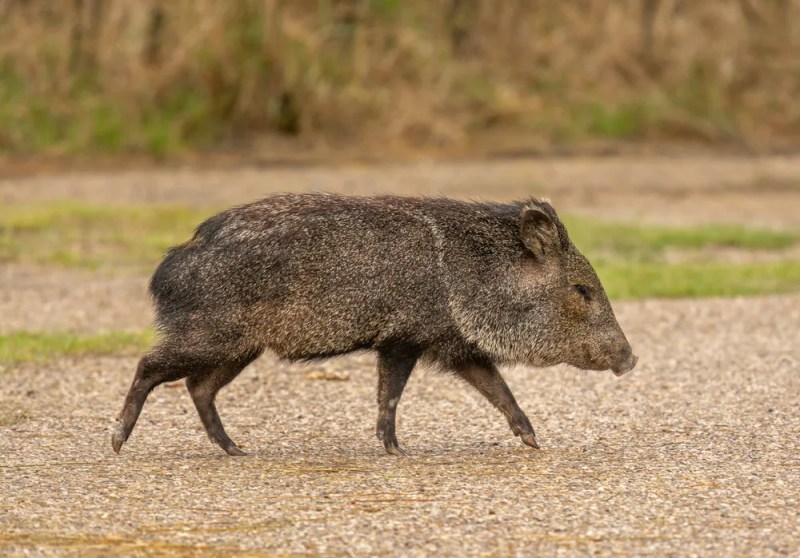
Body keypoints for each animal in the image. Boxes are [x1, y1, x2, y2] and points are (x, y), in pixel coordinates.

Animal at [112, 193, 636, 456]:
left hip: (240, 347)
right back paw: (118, 440)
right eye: (582, 291)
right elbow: (393, 394)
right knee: (150, 366)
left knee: (199, 388)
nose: (630, 360)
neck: (467, 274)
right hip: (214, 335)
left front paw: (532, 440)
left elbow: (497, 390)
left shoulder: (449, 343)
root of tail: (173, 262)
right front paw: (395, 450)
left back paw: (235, 450)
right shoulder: (407, 337)